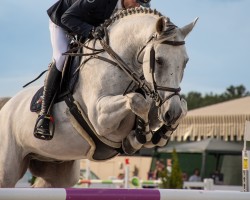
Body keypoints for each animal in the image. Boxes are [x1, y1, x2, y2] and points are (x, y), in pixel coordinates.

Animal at [0, 8, 197, 188]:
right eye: (159, 60)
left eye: (185, 62)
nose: (171, 113)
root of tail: (6, 105)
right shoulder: (100, 119)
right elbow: (137, 101)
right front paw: (140, 135)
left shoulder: (160, 103)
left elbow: (181, 107)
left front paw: (157, 135)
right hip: (8, 169)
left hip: (56, 168)